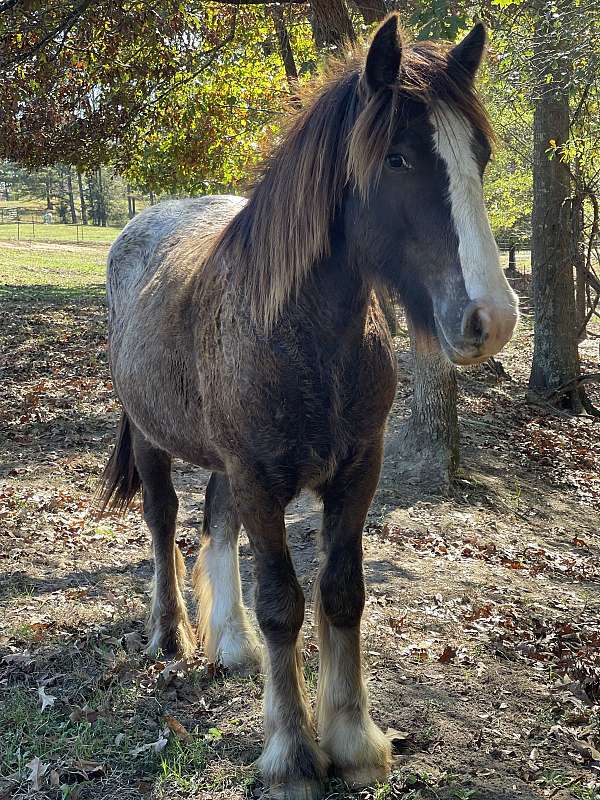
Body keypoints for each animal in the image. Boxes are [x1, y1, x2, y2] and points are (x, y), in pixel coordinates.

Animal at [97, 17, 516, 800]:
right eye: (399, 158)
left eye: (478, 155)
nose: (492, 318)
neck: (306, 337)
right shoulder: (263, 482)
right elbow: (284, 603)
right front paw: (293, 752)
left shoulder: (356, 475)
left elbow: (341, 593)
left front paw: (352, 741)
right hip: (152, 438)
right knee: (165, 522)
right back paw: (171, 635)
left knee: (215, 520)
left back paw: (232, 643)